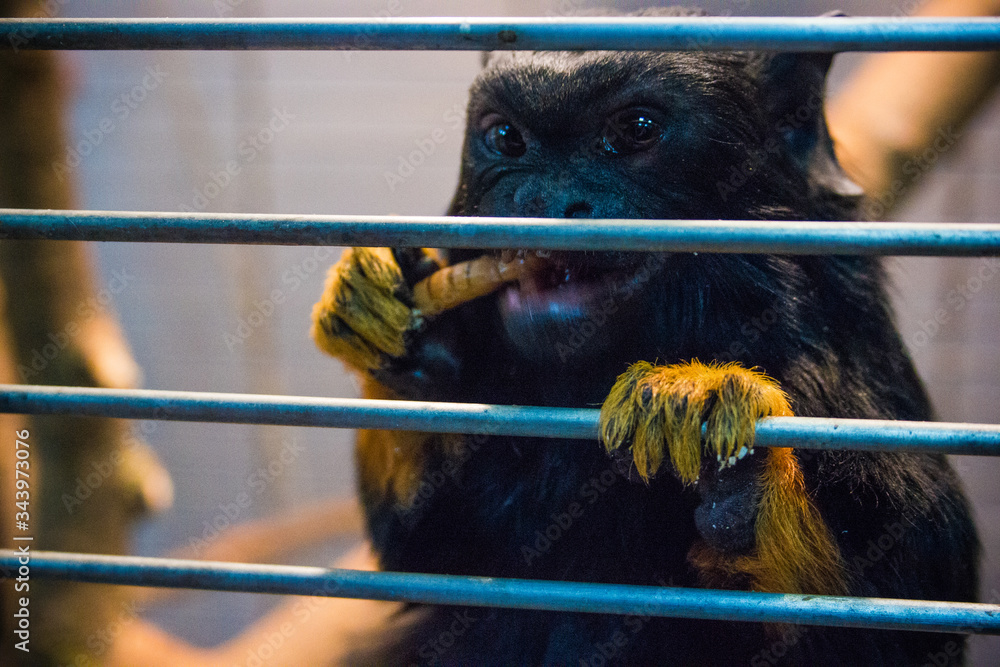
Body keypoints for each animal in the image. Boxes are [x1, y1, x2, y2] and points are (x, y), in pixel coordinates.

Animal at [311, 8, 978, 665]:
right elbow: (432, 555)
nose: (543, 203)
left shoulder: (833, 357)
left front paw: (724, 439)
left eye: (636, 129)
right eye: (505, 139)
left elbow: (906, 605)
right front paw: (419, 348)